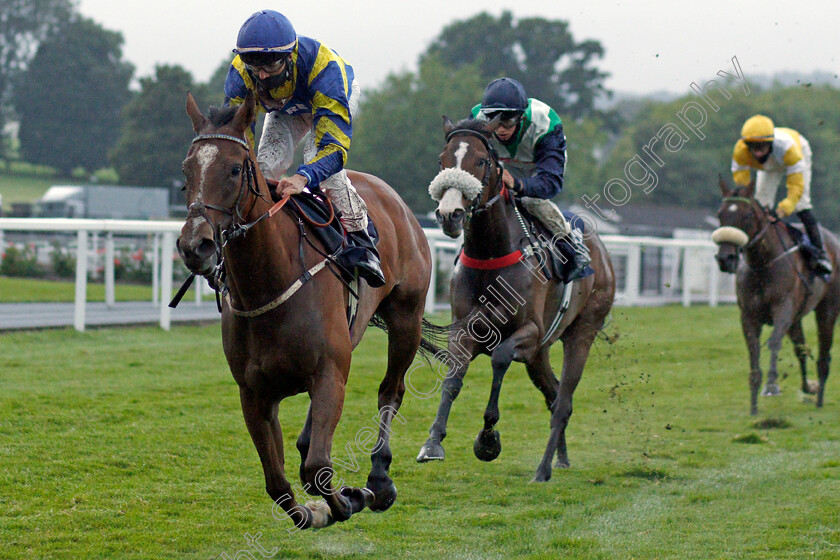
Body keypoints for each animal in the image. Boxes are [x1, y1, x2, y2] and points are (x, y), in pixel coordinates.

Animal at [177, 92, 440, 528]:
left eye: (234, 169)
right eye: (186, 170)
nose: (194, 245)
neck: (268, 285)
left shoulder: (330, 372)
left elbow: (318, 467)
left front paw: (350, 499)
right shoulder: (254, 393)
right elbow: (278, 483)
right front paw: (313, 510)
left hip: (407, 316)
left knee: (391, 391)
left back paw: (379, 479)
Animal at [416, 117, 612, 482]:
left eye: (481, 161)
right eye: (441, 160)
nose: (449, 214)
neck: (490, 255)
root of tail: (603, 253)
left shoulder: (530, 332)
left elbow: (500, 358)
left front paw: (488, 439)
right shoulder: (465, 330)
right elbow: (453, 378)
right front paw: (433, 443)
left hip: (581, 333)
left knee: (564, 401)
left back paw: (543, 469)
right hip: (540, 354)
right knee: (554, 394)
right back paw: (561, 458)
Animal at [716, 177, 840, 414]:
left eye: (746, 215)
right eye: (720, 215)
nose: (725, 258)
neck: (763, 263)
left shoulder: (783, 309)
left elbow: (774, 342)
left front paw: (771, 385)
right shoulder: (748, 316)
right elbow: (754, 349)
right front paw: (754, 404)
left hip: (827, 309)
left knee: (823, 354)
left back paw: (819, 395)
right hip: (796, 318)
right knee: (801, 350)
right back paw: (809, 387)